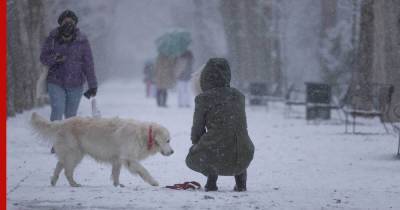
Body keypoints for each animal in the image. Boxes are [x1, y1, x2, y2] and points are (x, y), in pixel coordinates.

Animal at [30, 112, 174, 188]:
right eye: (168, 140)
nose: (173, 152)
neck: (145, 135)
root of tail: (62, 122)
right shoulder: (129, 158)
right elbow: (143, 170)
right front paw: (153, 182)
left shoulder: (118, 158)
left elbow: (116, 173)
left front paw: (117, 185)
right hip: (74, 153)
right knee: (67, 170)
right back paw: (74, 184)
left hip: (71, 153)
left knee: (60, 165)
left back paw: (54, 181)